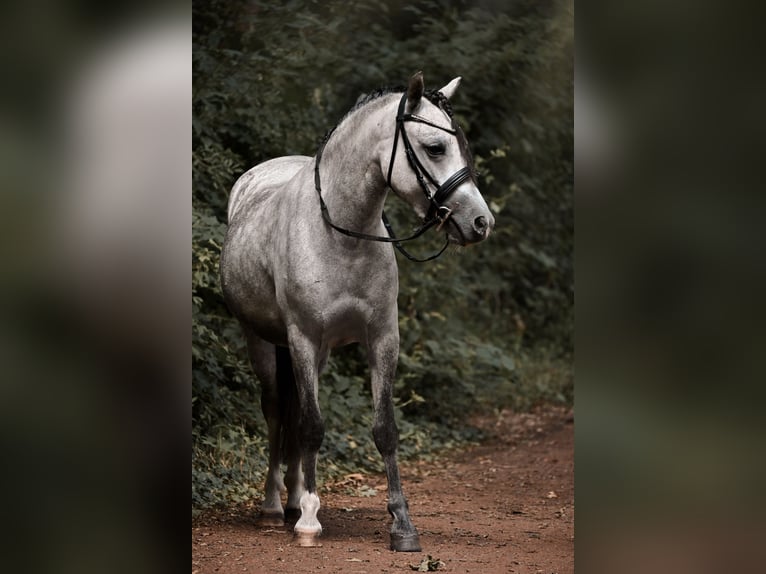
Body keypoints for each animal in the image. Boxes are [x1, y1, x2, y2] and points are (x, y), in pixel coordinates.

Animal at [220, 71, 494, 552]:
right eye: (435, 148)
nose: (481, 222)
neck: (342, 233)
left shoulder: (382, 338)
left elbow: (384, 429)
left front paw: (401, 524)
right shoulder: (302, 338)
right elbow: (311, 426)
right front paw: (309, 523)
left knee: (293, 412)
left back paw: (295, 499)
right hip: (262, 342)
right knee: (276, 412)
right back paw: (275, 507)